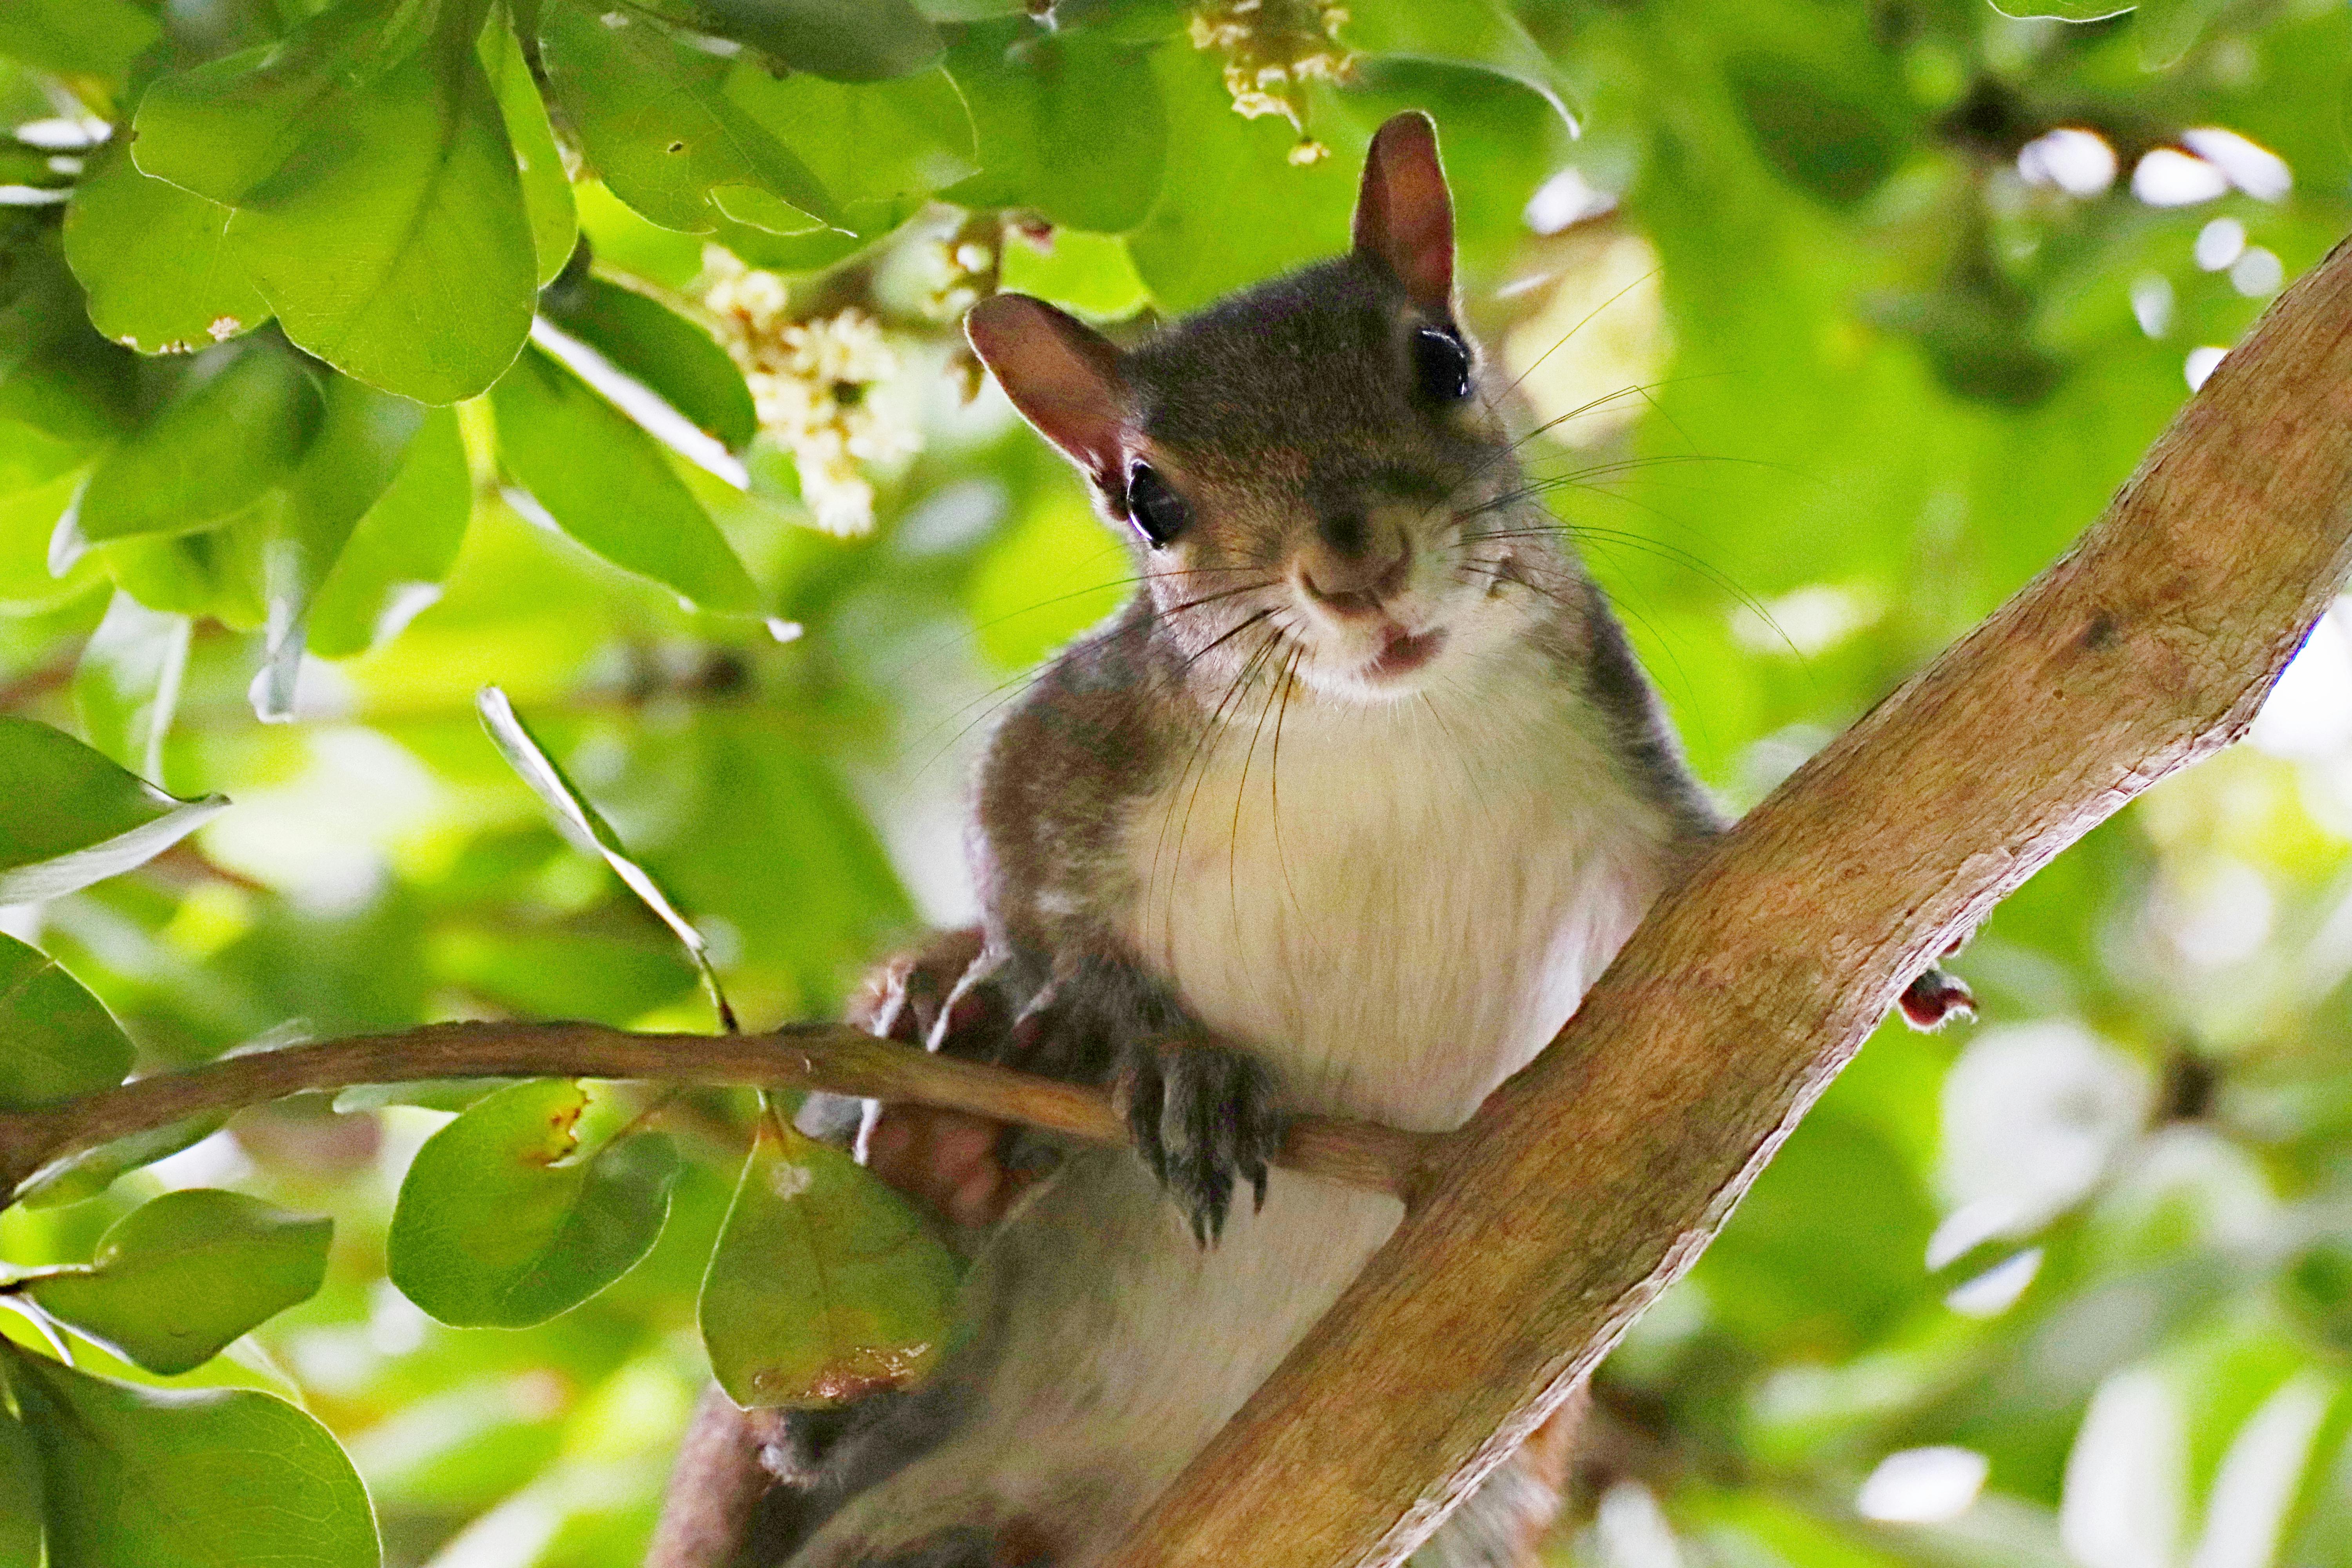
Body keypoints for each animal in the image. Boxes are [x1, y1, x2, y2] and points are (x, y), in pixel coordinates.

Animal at [771, 113, 1966, 1568]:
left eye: (1441, 360)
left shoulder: (1619, 763)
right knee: (819, 1424)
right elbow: (1034, 914)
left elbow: (1707, 879)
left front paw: (1903, 956)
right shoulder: (1060, 755)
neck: (1380, 733)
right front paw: (1174, 1058)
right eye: (1145, 499)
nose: (1357, 565)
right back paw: (933, 1157)